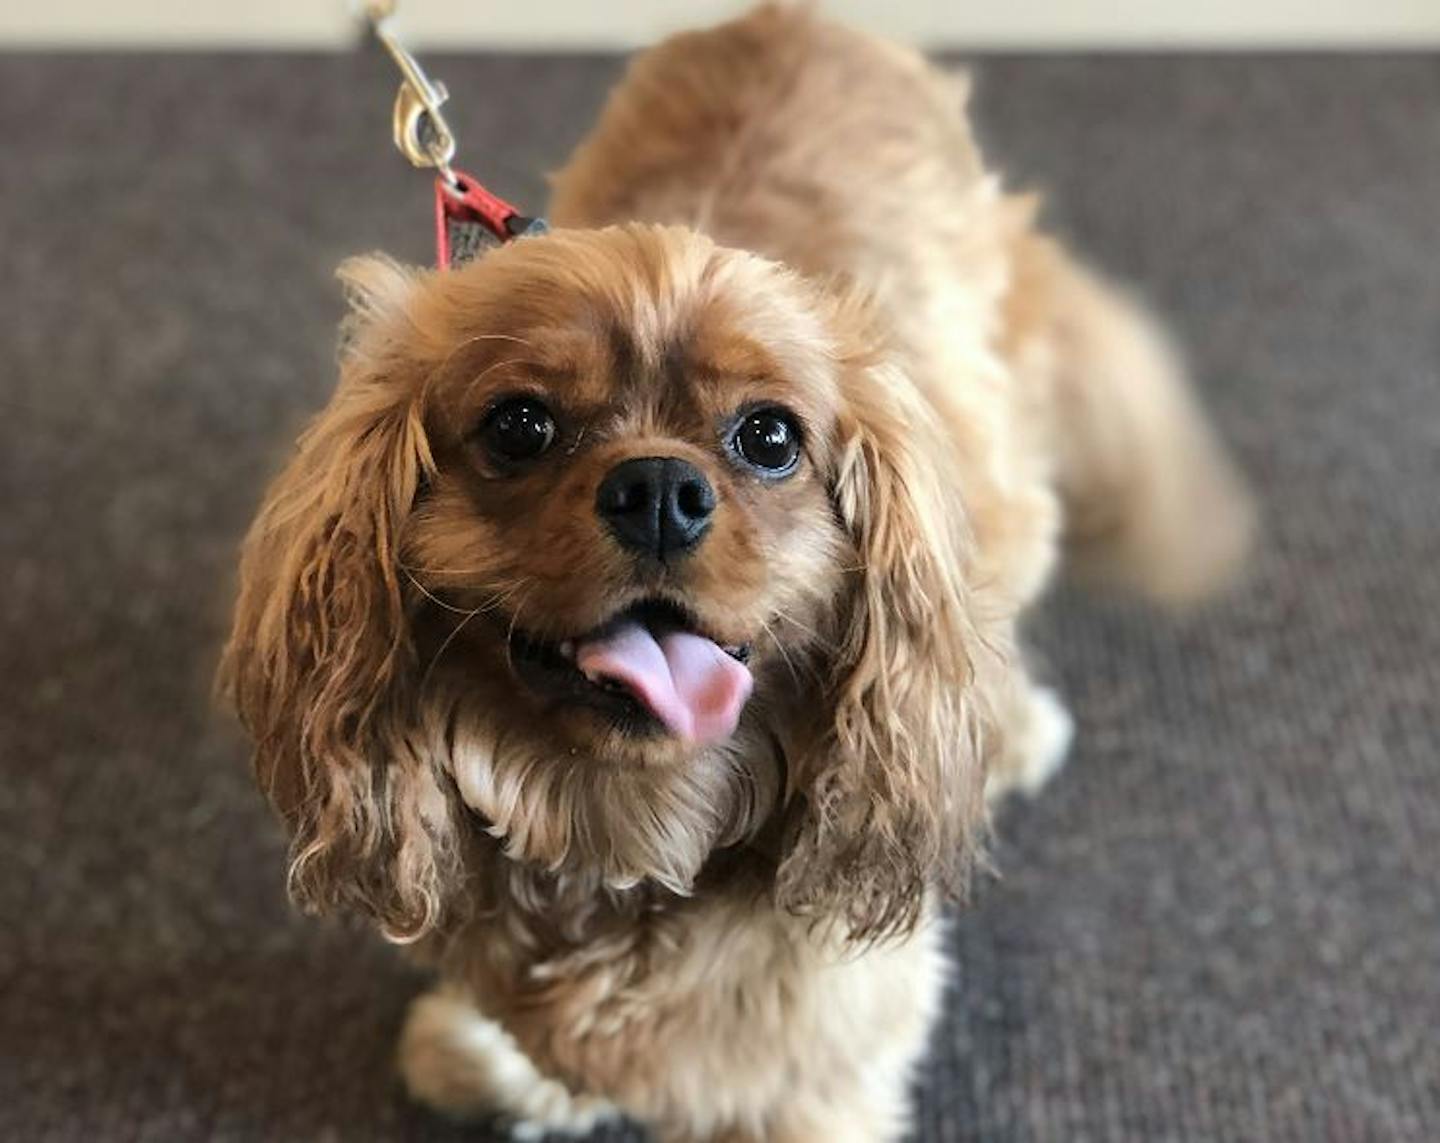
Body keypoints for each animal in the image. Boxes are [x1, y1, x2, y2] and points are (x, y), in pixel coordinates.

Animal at [218, 4, 1255, 1134]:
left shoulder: (826, 1056)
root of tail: (799, 16)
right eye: (520, 425)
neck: (624, 834)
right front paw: (514, 1070)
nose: (658, 489)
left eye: (768, 437)